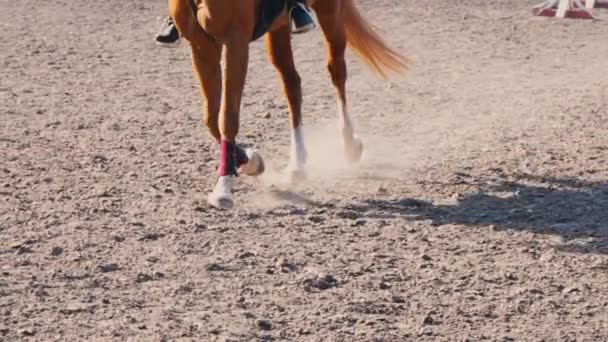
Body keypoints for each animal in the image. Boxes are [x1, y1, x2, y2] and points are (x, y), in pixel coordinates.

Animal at [169, 0, 410, 208]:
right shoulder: (200, 44)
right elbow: (212, 118)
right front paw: (250, 161)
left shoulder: (235, 40)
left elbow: (227, 116)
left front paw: (224, 189)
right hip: (280, 26)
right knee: (292, 84)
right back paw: (297, 165)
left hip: (330, 11)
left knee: (337, 72)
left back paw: (350, 144)